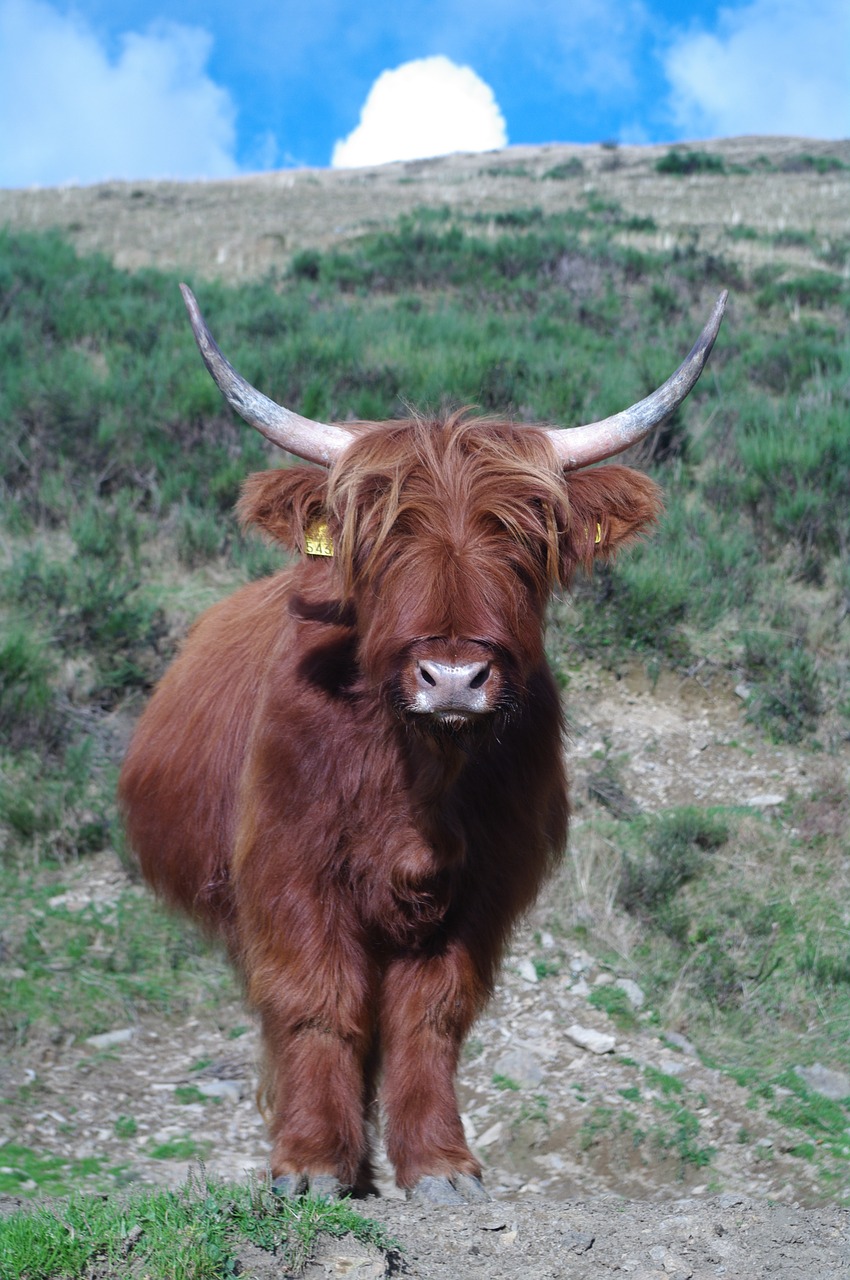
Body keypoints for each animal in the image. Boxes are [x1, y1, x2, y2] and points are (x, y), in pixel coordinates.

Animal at [119, 285, 727, 1203]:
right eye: (384, 536)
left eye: (522, 538)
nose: (452, 676)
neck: (421, 773)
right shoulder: (289, 872)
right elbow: (314, 1001)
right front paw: (309, 1162)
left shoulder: (482, 888)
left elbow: (430, 1016)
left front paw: (440, 1165)